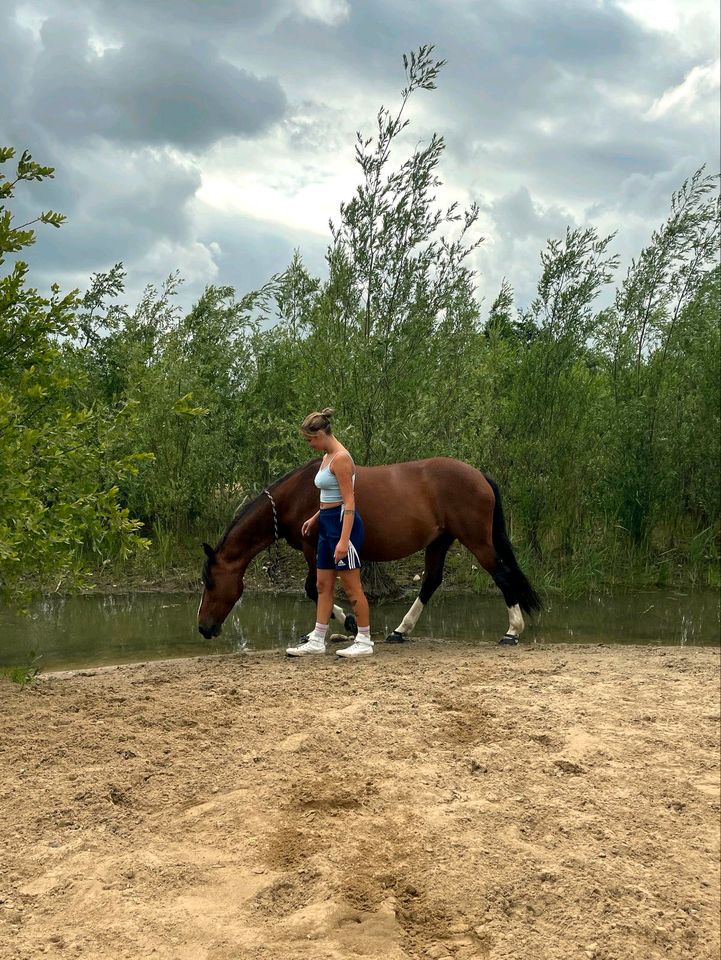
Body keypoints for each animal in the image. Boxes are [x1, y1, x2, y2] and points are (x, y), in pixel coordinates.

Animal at [197, 456, 540, 644]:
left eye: (210, 582)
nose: (203, 627)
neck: (296, 495)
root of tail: (479, 476)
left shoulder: (313, 548)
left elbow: (313, 588)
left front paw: (346, 622)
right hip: (440, 540)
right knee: (431, 581)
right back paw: (400, 631)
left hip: (476, 540)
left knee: (501, 573)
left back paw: (512, 632)